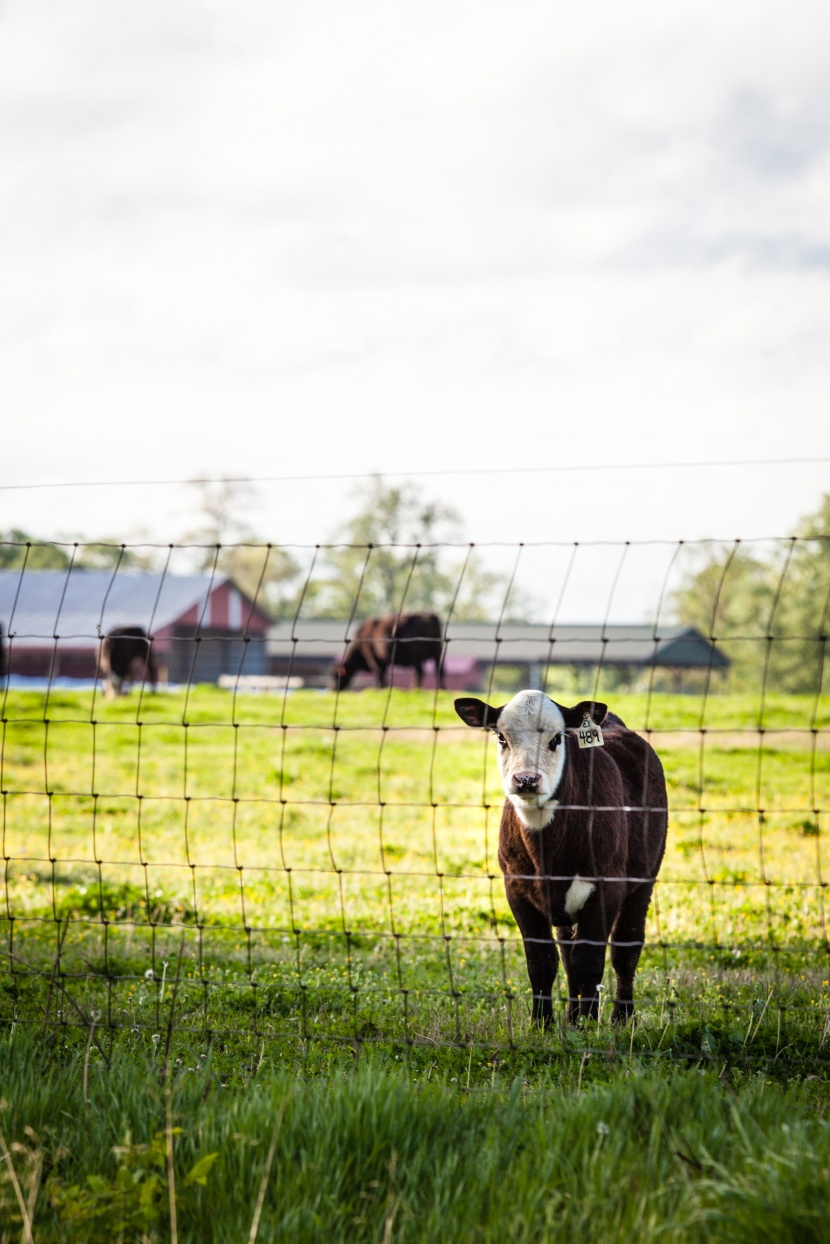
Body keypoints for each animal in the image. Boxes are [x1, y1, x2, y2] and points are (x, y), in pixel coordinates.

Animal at [455, 686, 666, 1025]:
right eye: (501, 737)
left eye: (556, 739)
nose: (526, 780)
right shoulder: (517, 888)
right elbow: (543, 961)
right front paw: (543, 1023)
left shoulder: (606, 887)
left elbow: (590, 961)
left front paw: (589, 1024)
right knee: (568, 953)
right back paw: (572, 1015)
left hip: (644, 879)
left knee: (626, 947)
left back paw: (621, 1017)